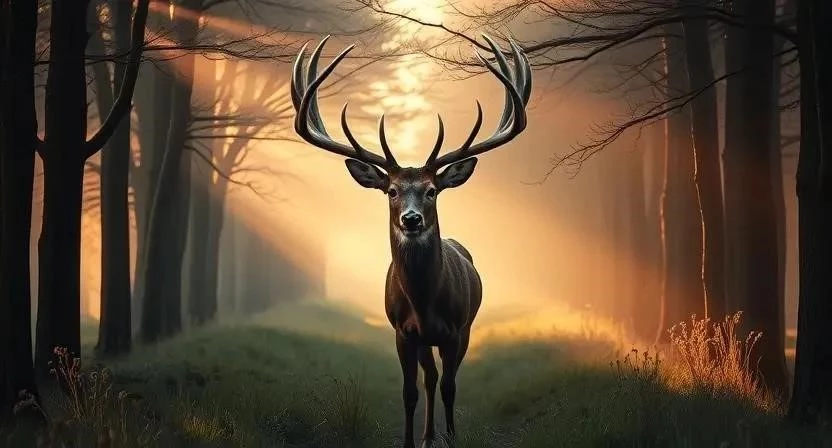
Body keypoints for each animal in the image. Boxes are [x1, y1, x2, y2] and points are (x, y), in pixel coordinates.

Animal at [290, 35, 531, 448]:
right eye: (391, 190)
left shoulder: (455, 329)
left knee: (444, 380)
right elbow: (410, 391)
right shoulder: (403, 331)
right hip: (422, 341)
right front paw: (409, 440)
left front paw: (452, 439)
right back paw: (426, 436)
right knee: (429, 378)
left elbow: (451, 387)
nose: (412, 218)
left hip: (464, 329)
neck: (424, 302)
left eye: (432, 190)